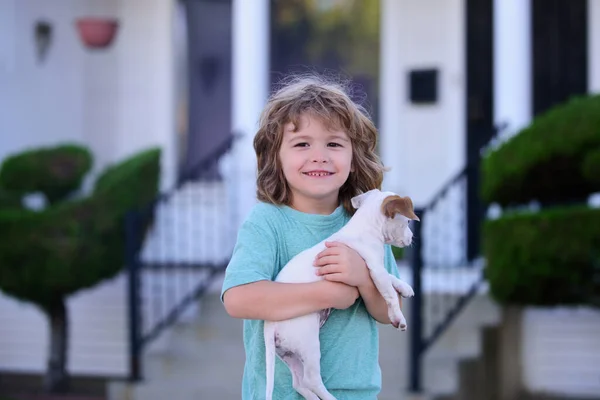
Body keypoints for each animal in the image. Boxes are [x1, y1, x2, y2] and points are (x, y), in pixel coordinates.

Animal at [264, 190, 420, 400]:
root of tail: (270, 324)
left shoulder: (372, 270)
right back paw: (330, 398)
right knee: (311, 380)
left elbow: (390, 278)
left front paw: (404, 287)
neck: (365, 226)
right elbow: (389, 294)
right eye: (408, 222)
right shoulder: (375, 269)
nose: (412, 238)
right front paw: (398, 317)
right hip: (309, 344)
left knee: (298, 382)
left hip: (289, 354)